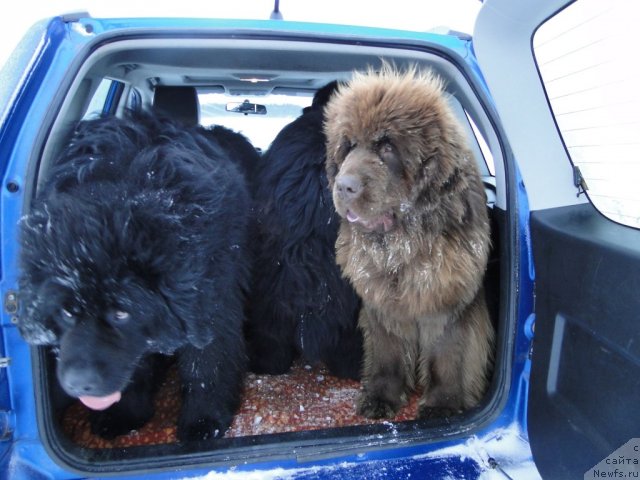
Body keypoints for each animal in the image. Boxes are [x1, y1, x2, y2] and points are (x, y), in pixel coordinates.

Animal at [18, 112, 252, 442]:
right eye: (66, 312)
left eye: (121, 313)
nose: (78, 384)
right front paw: (125, 414)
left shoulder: (212, 293)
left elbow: (207, 359)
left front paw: (204, 419)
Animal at [324, 64, 496, 420]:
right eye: (348, 146)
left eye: (387, 147)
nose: (344, 186)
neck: (403, 248)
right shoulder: (383, 306)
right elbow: (387, 353)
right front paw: (381, 397)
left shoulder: (450, 304)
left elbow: (449, 355)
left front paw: (444, 404)